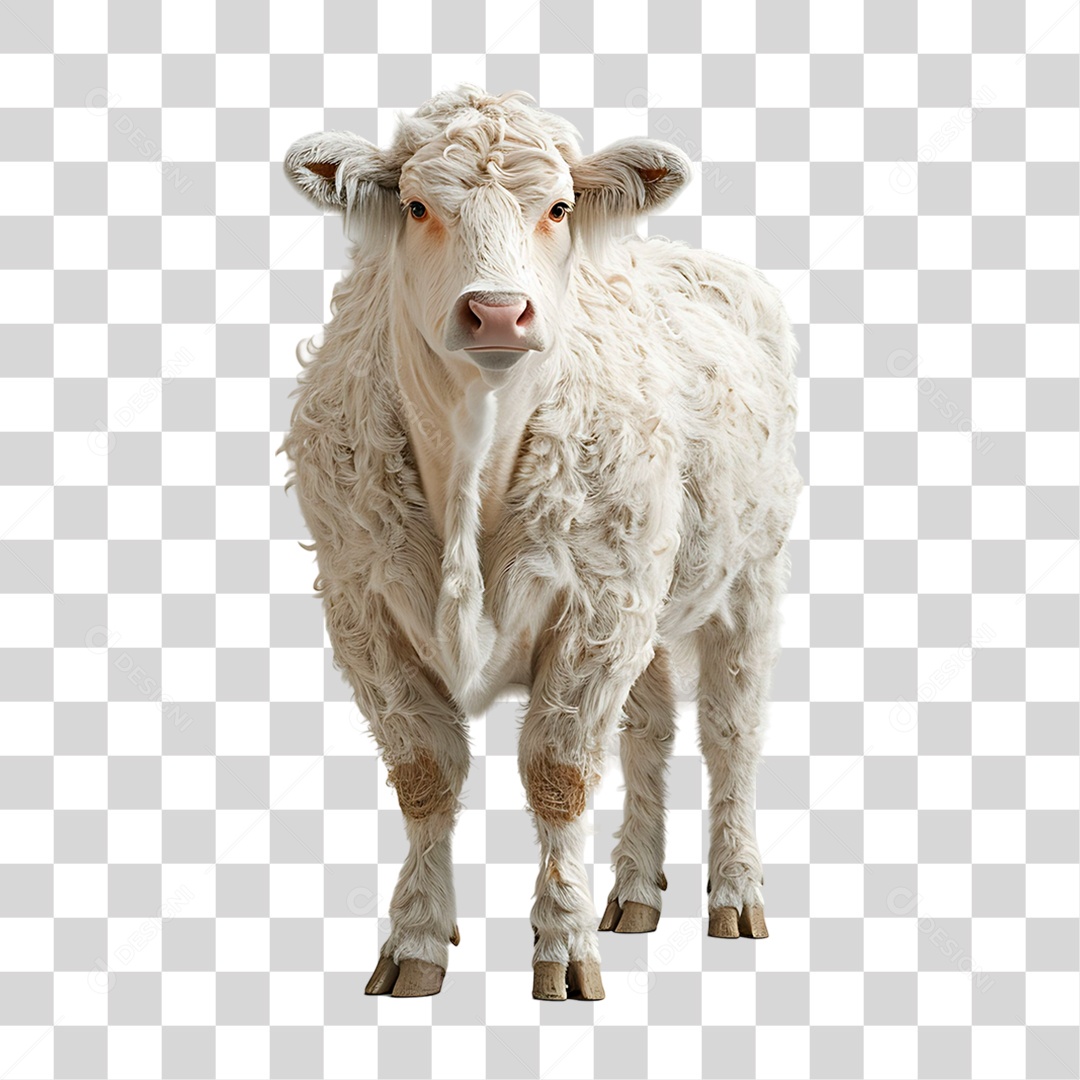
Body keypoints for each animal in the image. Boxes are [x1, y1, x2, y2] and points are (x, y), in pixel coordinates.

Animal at [281, 84, 802, 1001]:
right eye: (416, 206)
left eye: (557, 208)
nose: (496, 310)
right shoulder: (362, 609)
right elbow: (425, 775)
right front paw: (417, 940)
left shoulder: (594, 607)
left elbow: (558, 774)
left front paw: (562, 948)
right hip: (647, 594)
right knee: (649, 730)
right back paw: (633, 894)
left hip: (746, 578)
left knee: (731, 731)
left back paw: (735, 894)